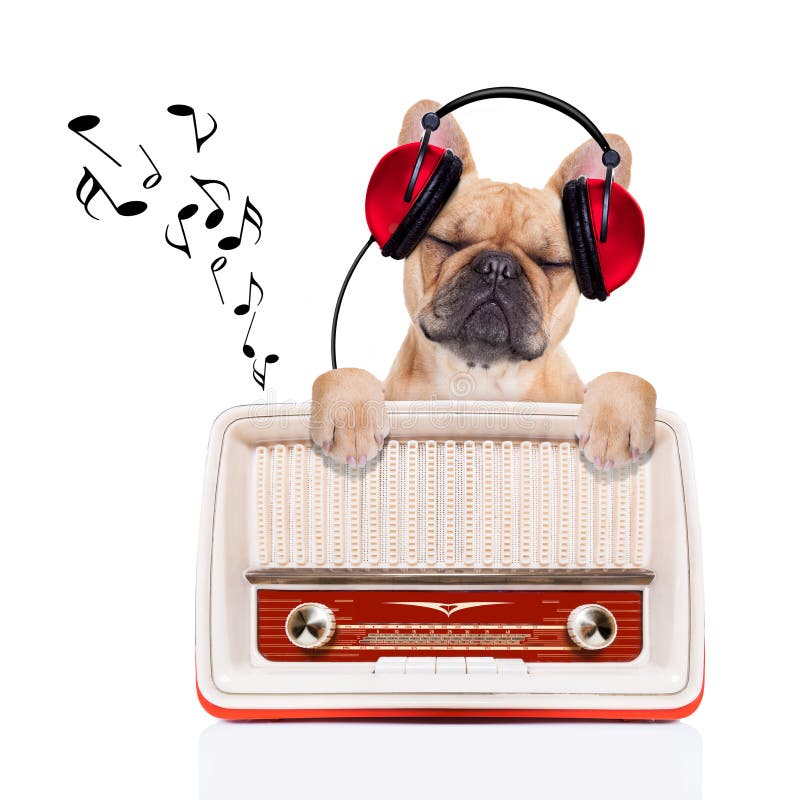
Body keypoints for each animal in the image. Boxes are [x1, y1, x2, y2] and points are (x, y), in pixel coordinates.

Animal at [310, 101, 652, 468]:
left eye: (550, 262)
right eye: (448, 242)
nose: (498, 267)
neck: (480, 379)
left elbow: (629, 381)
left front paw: (614, 422)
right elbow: (339, 376)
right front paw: (349, 413)